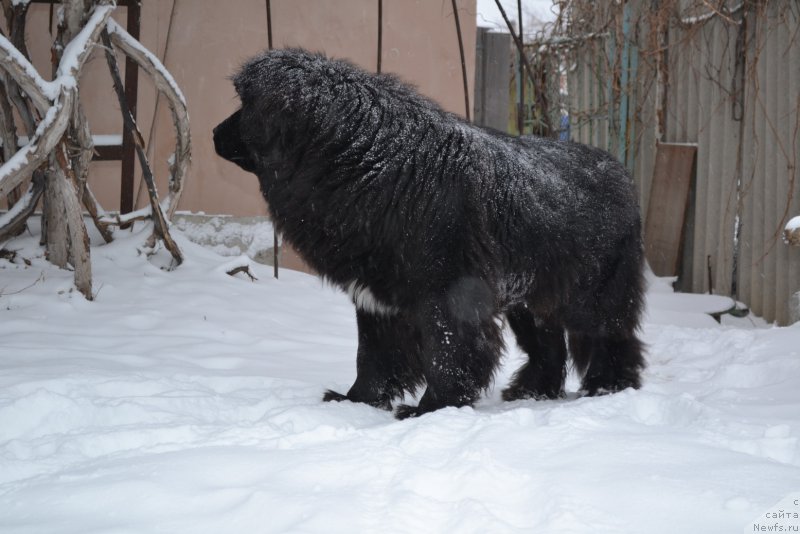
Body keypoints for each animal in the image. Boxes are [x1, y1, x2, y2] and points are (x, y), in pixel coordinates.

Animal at [216, 49, 648, 418]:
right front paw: (355, 401)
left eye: (246, 106)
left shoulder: (449, 290)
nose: (215, 131)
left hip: (594, 293)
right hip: (529, 299)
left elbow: (447, 352)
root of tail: (619, 170)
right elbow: (373, 356)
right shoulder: (375, 297)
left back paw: (608, 387)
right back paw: (533, 391)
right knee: (548, 345)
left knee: (610, 337)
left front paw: (431, 409)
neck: (370, 164)